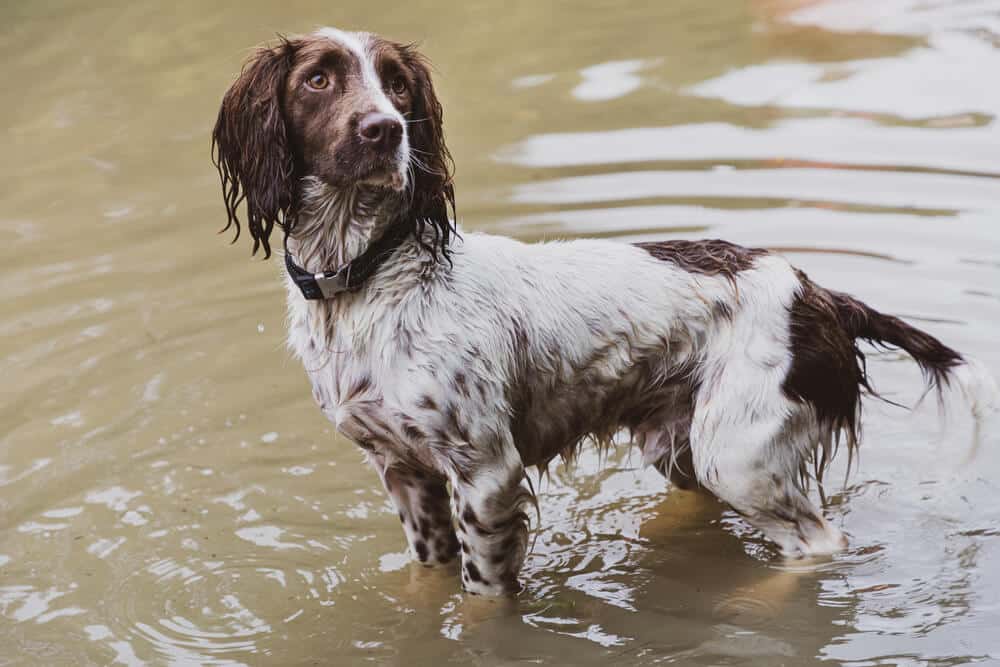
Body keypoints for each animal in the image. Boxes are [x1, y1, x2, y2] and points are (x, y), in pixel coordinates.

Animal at [211, 28, 992, 596]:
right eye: (318, 79)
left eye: (397, 82)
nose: (385, 129)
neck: (367, 282)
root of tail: (820, 292)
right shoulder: (406, 474)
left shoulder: (486, 475)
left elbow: (483, 597)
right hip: (678, 443)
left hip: (740, 453)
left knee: (821, 547)